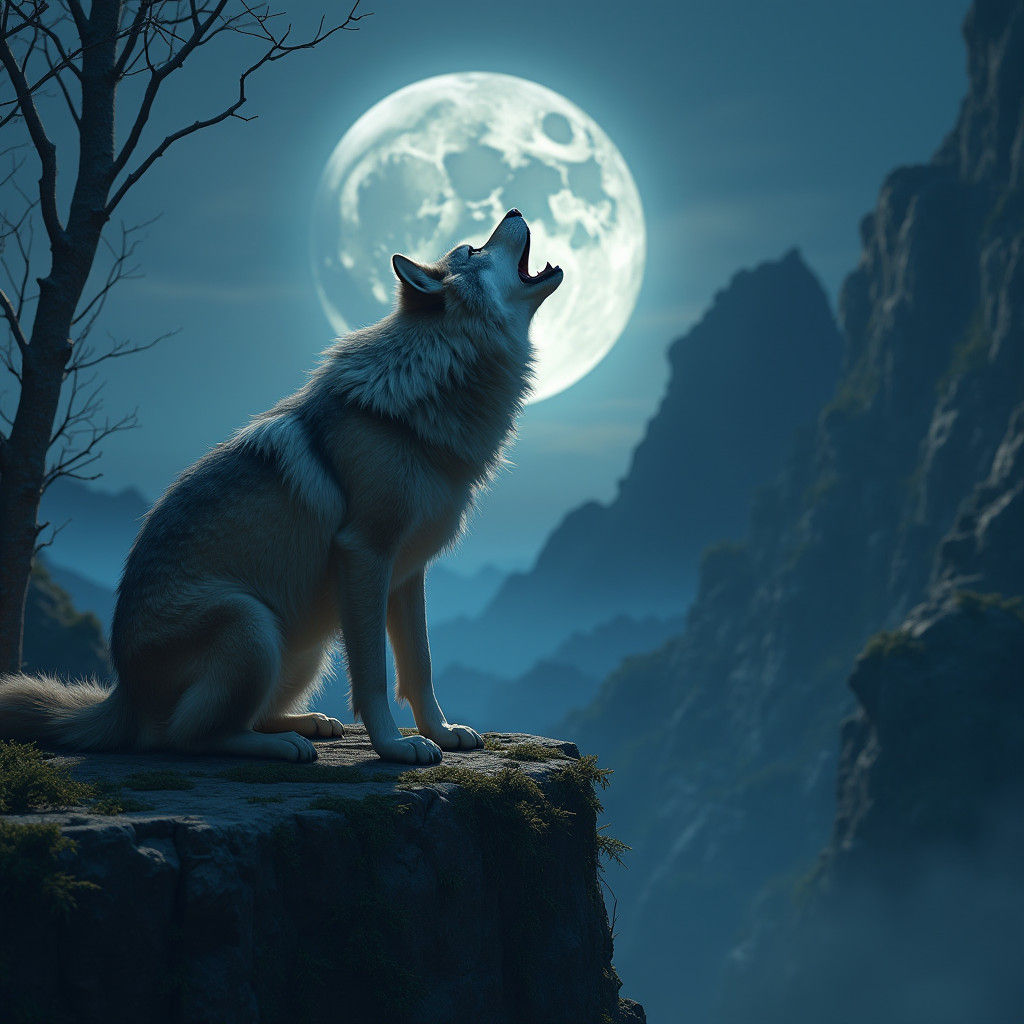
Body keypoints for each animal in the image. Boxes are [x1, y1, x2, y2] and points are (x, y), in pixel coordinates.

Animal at [0, 210, 562, 764]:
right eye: (471, 249)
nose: (514, 210)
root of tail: (124, 696)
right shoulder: (364, 554)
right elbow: (375, 676)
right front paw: (394, 747)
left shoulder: (407, 571)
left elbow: (419, 666)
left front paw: (441, 734)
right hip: (253, 624)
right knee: (189, 737)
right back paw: (283, 745)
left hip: (306, 645)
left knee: (243, 716)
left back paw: (308, 723)